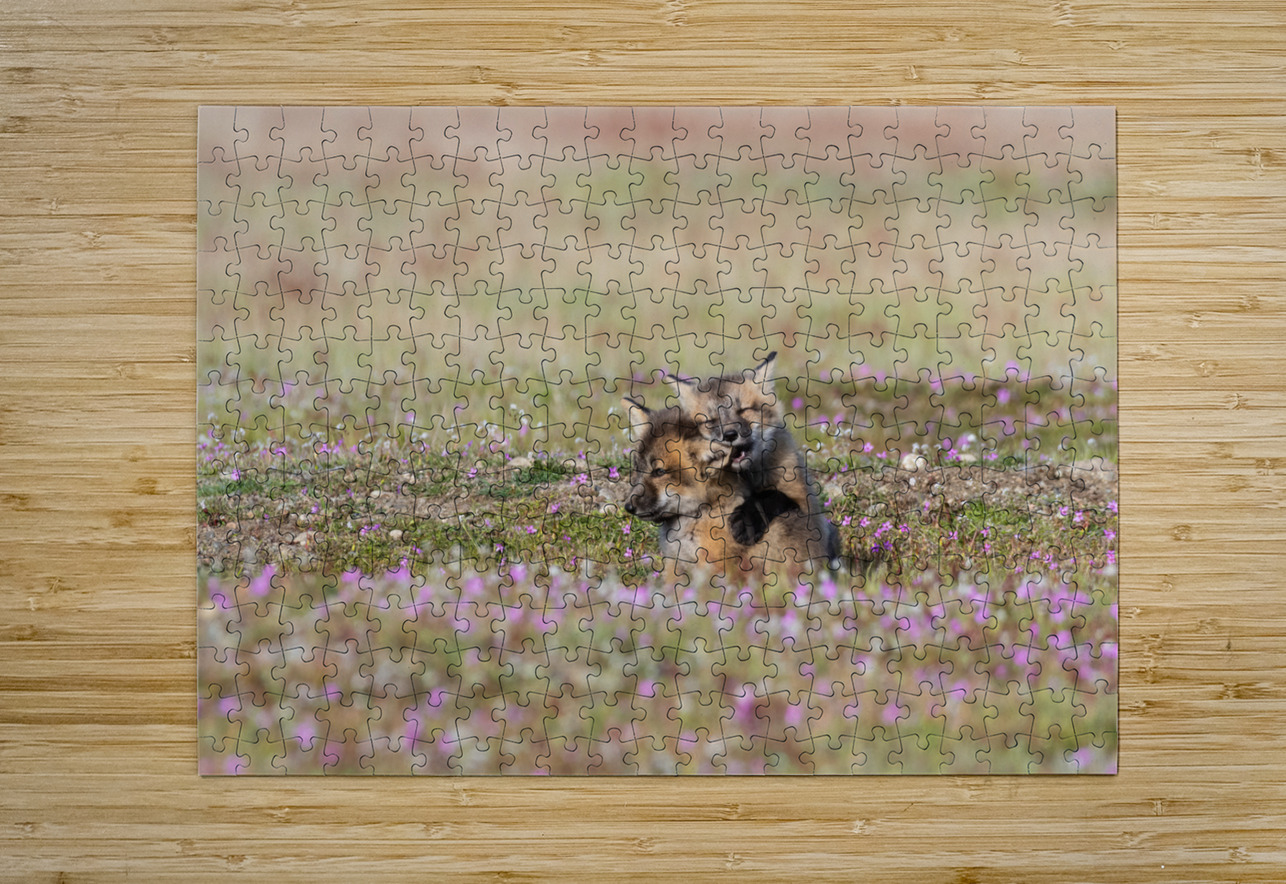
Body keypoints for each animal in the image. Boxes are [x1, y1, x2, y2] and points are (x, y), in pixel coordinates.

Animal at [665, 351, 839, 560]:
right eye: (711, 421)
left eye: (743, 410)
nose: (729, 435)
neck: (748, 476)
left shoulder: (805, 504)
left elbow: (770, 495)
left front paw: (747, 520)